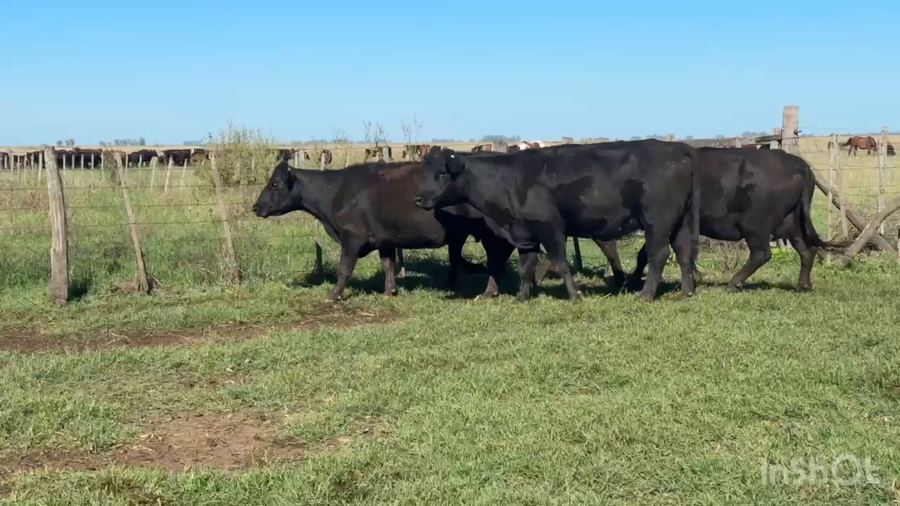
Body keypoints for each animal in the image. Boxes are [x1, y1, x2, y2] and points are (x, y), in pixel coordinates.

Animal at [252, 160, 515, 301]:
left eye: (274, 183)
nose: (255, 207)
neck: (336, 191)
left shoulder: (352, 238)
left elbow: (343, 269)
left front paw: (334, 295)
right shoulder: (385, 239)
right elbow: (388, 265)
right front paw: (390, 291)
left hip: (491, 234)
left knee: (495, 261)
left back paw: (489, 292)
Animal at [414, 140, 700, 302]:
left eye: (442, 173)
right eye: (426, 171)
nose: (417, 198)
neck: (509, 180)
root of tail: (678, 147)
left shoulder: (550, 227)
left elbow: (561, 263)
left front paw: (575, 295)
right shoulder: (526, 234)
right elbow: (525, 267)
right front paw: (522, 297)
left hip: (656, 221)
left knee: (658, 255)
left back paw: (645, 294)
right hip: (681, 222)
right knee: (684, 252)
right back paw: (686, 292)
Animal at [593, 148, 847, 292]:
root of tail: (801, 165)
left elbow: (646, 253)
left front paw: (631, 282)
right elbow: (644, 253)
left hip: (756, 225)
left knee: (762, 253)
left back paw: (733, 283)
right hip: (791, 223)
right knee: (806, 250)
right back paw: (802, 285)